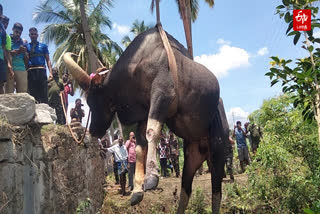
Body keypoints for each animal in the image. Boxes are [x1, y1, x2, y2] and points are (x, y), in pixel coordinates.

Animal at [63, 26, 228, 214]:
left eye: (94, 100)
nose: (94, 130)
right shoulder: (143, 113)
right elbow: (140, 145)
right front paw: (137, 191)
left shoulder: (162, 96)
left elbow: (151, 132)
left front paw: (152, 177)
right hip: (191, 158)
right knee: (186, 190)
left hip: (218, 153)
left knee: (216, 193)